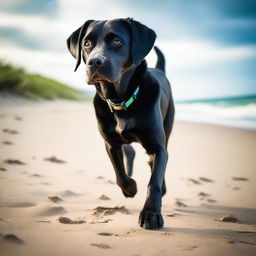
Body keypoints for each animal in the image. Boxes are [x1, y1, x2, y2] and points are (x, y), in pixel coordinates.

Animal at [66, 18, 174, 230]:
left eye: (117, 41)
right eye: (87, 43)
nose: (94, 62)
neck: (121, 102)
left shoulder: (157, 146)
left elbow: (154, 182)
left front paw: (151, 214)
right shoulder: (111, 143)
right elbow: (119, 174)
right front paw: (130, 188)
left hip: (167, 127)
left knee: (159, 161)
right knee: (130, 152)